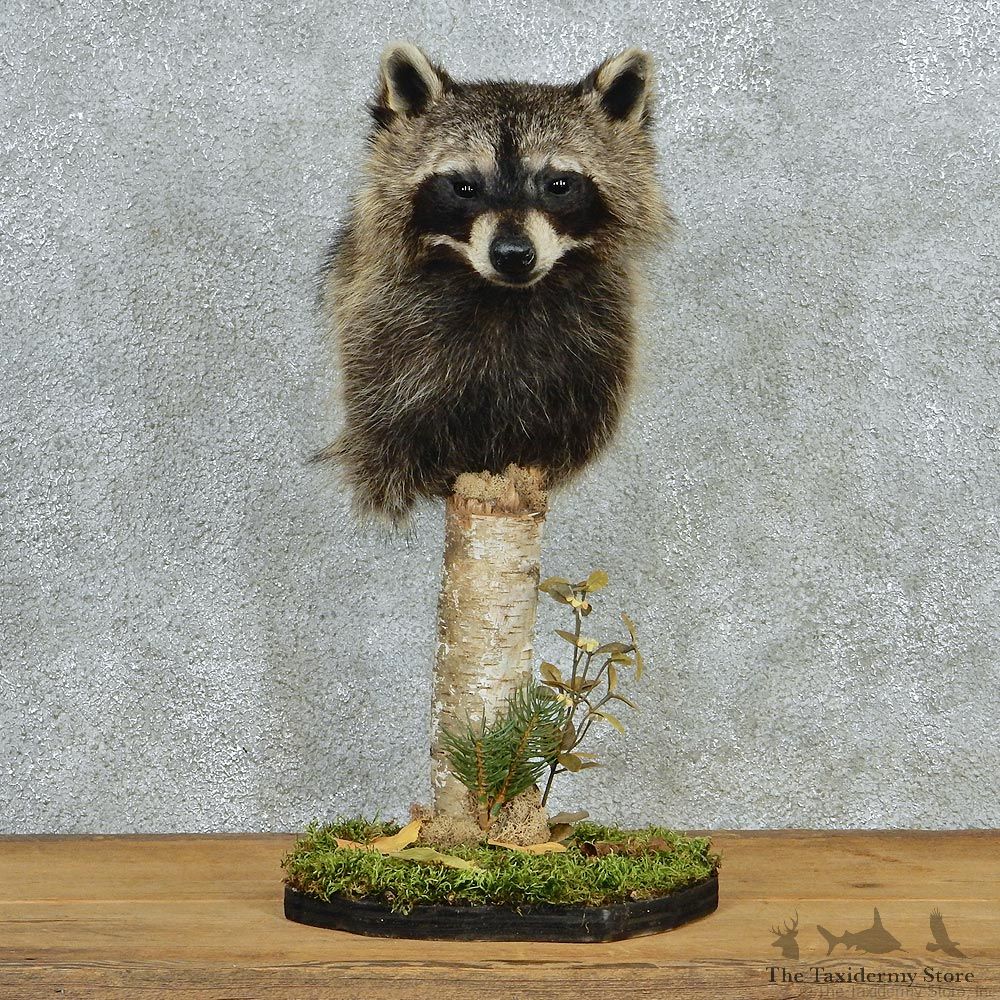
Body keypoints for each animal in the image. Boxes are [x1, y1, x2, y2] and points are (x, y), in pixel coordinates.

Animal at [317, 42, 669, 522]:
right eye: (464, 186)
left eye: (559, 184)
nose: (513, 256)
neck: (504, 296)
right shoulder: (384, 332)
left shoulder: (594, 348)